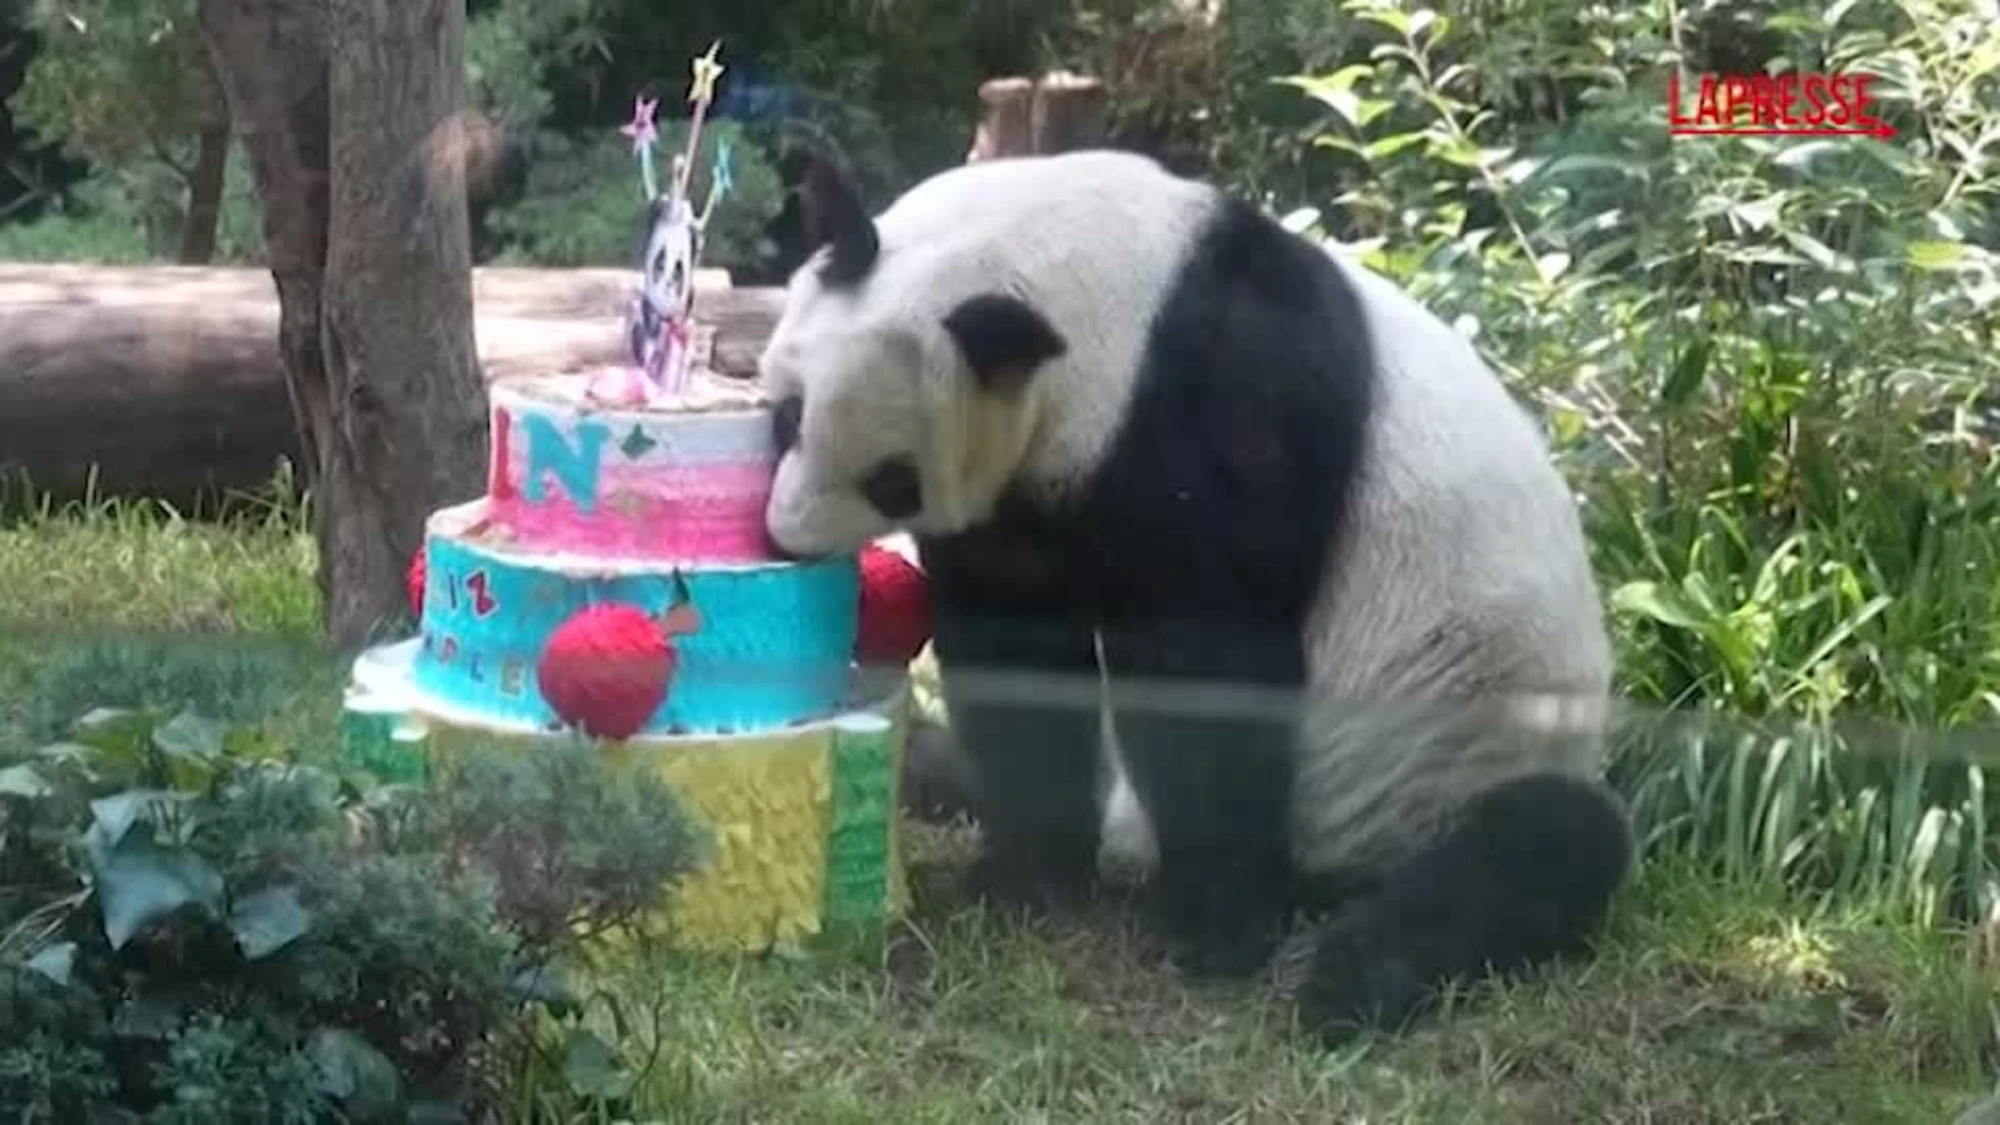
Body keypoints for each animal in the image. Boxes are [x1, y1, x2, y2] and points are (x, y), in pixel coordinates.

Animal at [758, 149, 1633, 1043]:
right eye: (788, 417)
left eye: (892, 480)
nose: (788, 538)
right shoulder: (1029, 486)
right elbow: (1017, 650)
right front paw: (1026, 876)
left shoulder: (1214, 413)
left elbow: (1207, 661)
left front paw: (1216, 930)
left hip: (1454, 758)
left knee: (1543, 843)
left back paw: (1350, 975)